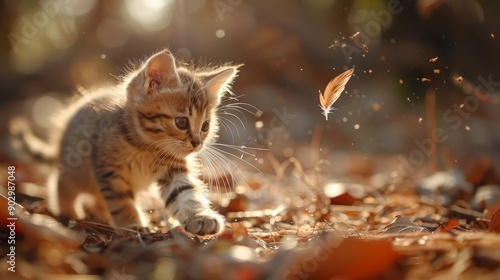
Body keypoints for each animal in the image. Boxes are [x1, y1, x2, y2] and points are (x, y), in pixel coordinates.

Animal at [15, 49, 240, 236]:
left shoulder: (173, 170)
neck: (145, 147)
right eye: (181, 122)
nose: (197, 143)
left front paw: (200, 217)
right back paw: (67, 212)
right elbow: (121, 201)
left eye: (206, 126)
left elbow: (185, 193)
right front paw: (132, 225)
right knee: (60, 183)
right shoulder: (109, 171)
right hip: (74, 170)